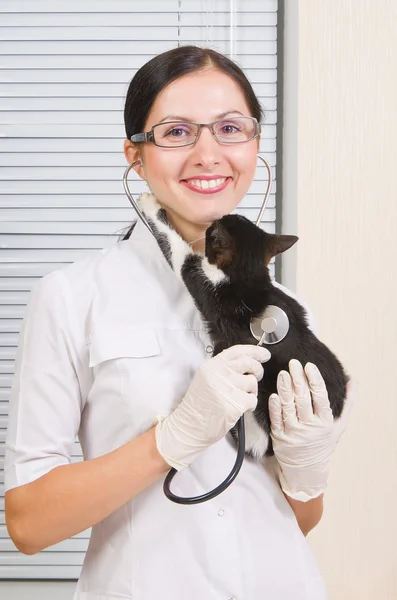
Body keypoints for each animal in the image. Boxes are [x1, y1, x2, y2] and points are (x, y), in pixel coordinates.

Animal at [138, 192, 348, 460]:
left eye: (213, 231)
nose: (217, 216)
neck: (248, 276)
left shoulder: (205, 284)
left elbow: (176, 248)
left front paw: (150, 205)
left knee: (255, 442)